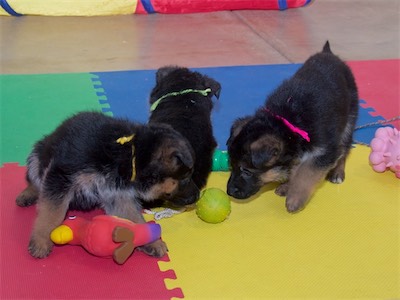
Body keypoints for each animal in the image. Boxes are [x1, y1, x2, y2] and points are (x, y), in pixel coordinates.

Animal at [16, 111, 196, 258]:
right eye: (186, 177)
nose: (197, 197)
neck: (131, 155)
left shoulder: (117, 195)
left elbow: (134, 219)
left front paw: (150, 241)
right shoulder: (61, 177)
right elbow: (52, 213)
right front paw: (41, 239)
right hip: (37, 155)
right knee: (35, 180)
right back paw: (27, 194)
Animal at [228, 42, 360, 212]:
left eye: (247, 171)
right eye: (231, 165)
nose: (230, 192)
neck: (287, 122)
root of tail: (328, 54)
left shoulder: (325, 150)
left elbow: (306, 174)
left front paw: (295, 198)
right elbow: (295, 170)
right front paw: (287, 186)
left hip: (349, 120)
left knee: (344, 149)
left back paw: (337, 172)